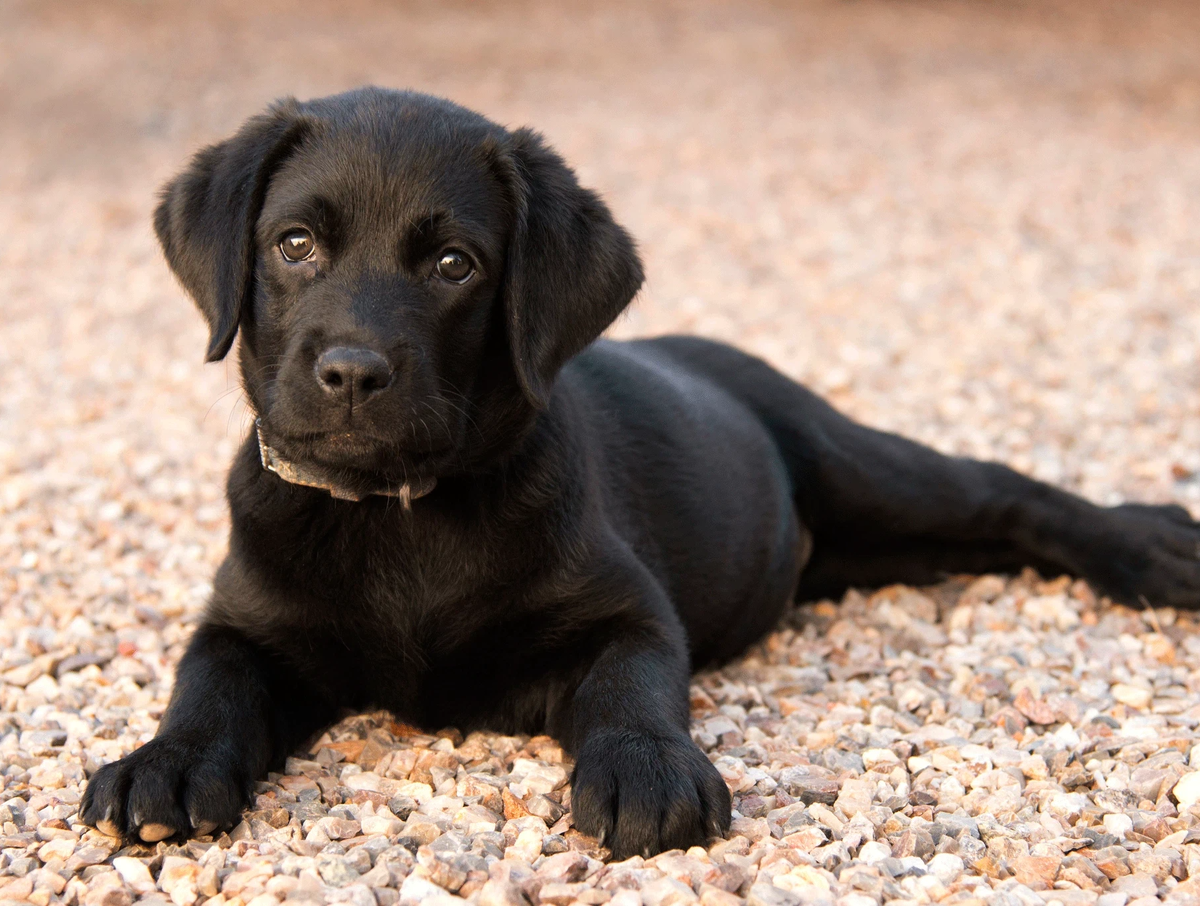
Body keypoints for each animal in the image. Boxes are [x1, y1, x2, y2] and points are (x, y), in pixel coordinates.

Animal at [84, 88, 1200, 859]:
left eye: (454, 265)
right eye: (295, 244)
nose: (353, 372)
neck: (398, 514)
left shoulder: (626, 608)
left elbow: (631, 686)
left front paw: (647, 773)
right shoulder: (245, 621)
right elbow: (207, 683)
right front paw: (165, 764)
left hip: (859, 466)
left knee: (1005, 493)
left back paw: (1153, 547)